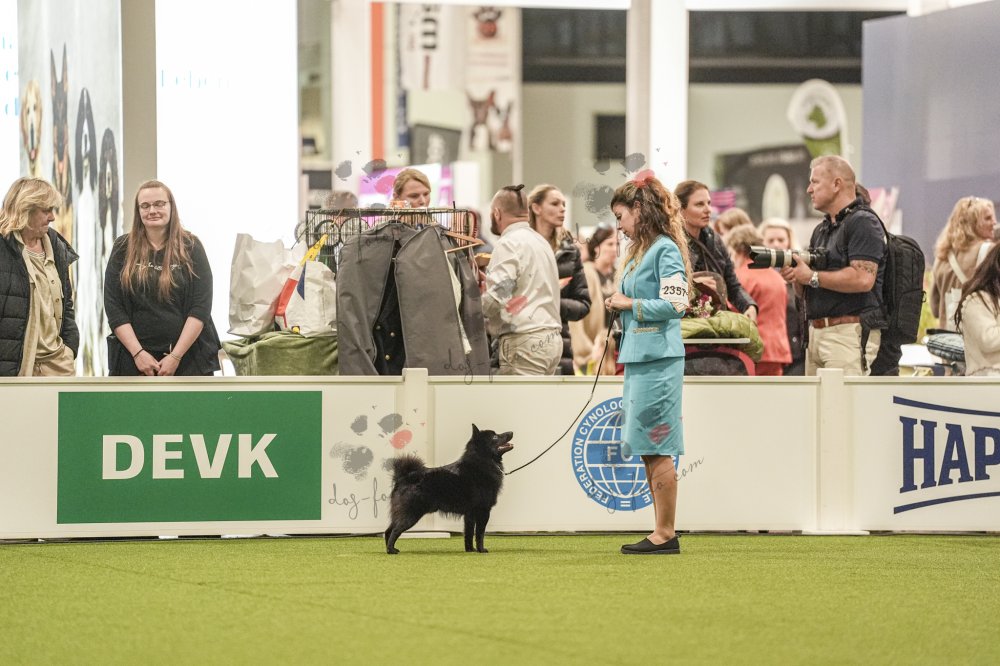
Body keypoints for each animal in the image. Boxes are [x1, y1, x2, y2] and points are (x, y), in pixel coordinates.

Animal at [385, 424, 513, 554]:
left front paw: (470, 550)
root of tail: (405, 476)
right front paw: (481, 550)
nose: (511, 432)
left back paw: (389, 549)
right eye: (495, 437)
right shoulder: (483, 510)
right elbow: (479, 534)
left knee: (388, 531)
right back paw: (391, 550)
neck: (482, 462)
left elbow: (468, 533)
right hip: (411, 514)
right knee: (395, 531)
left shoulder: (470, 514)